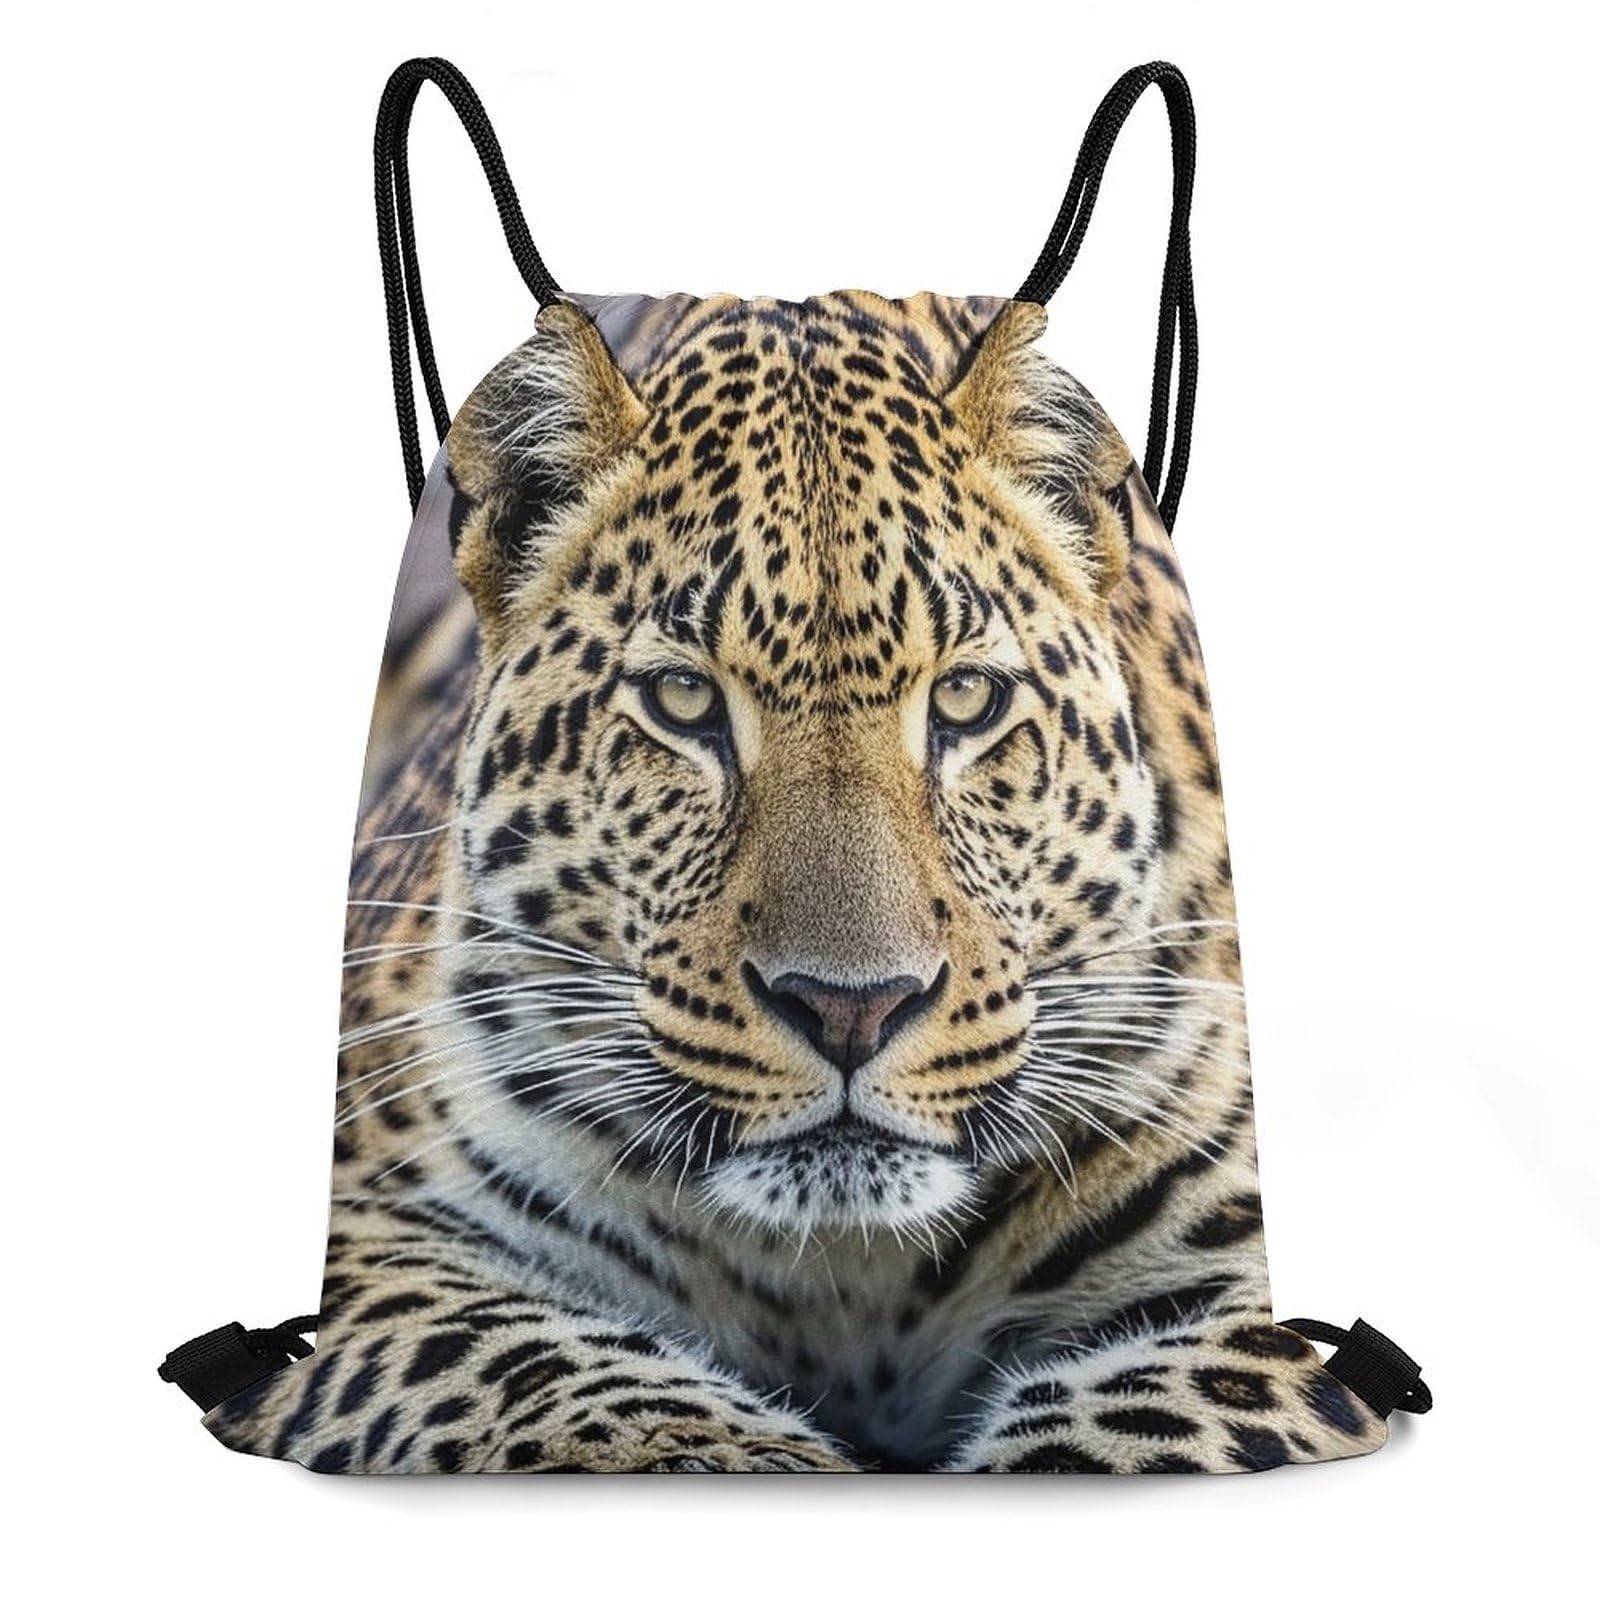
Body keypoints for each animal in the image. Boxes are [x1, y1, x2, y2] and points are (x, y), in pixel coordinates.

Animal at [207, 290, 1384, 1473]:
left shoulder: (1239, 1279)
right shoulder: (375, 1230)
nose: (851, 1009)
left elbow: (1128, 1434)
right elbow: (537, 1376)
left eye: (965, 699)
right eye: (683, 701)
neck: (844, 1277)